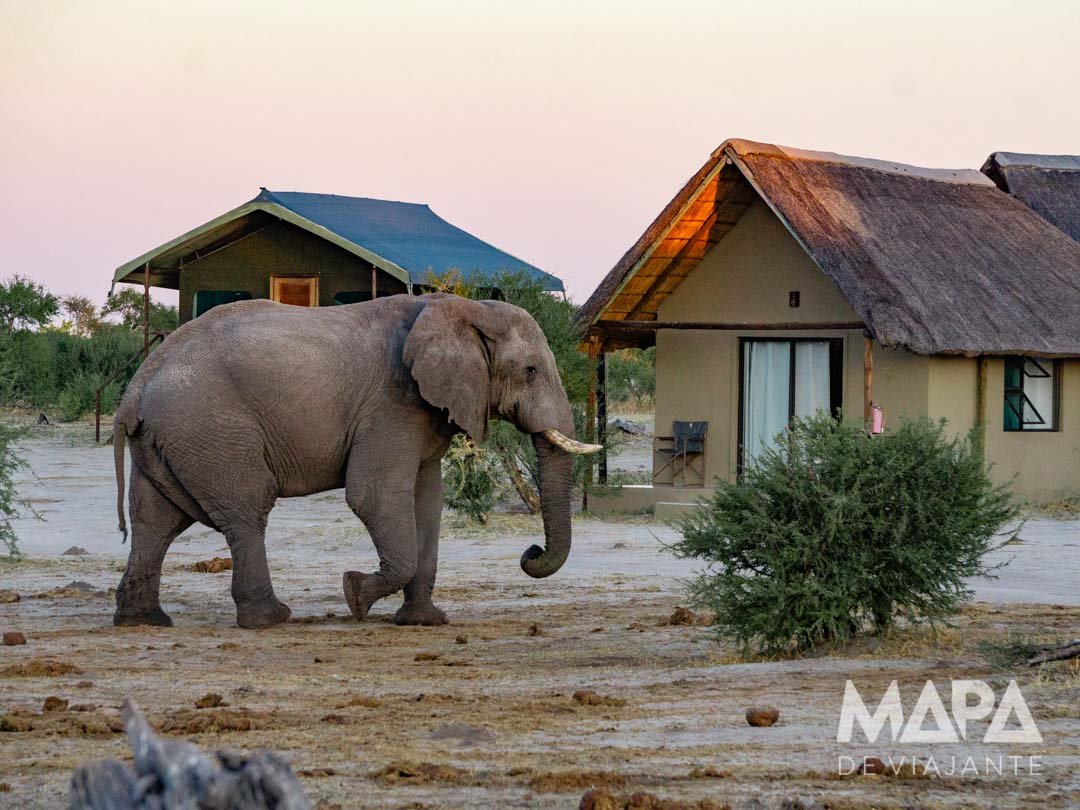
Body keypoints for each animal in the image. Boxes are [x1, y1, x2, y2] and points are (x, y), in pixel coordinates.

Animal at [111, 293, 599, 629]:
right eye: (531, 371)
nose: (530, 552)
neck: (461, 308)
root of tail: (136, 388)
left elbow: (427, 502)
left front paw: (424, 622)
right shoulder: (392, 404)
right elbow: (374, 495)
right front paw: (355, 596)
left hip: (173, 439)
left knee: (156, 521)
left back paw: (143, 622)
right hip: (213, 431)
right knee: (245, 512)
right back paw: (271, 619)